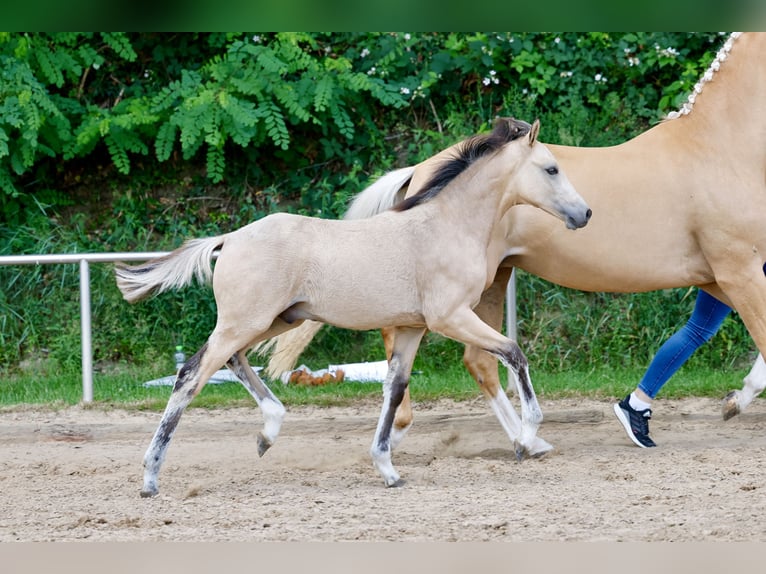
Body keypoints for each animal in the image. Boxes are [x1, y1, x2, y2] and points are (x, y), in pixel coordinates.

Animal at [115, 118, 592, 495]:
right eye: (551, 168)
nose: (584, 214)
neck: (446, 227)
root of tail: (229, 239)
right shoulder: (451, 317)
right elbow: (513, 353)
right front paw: (528, 438)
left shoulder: (413, 328)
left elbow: (394, 388)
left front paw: (388, 469)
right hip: (243, 322)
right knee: (191, 375)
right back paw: (151, 477)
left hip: (273, 320)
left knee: (232, 360)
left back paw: (268, 432)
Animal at [262, 32, 766, 451]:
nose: (583, 214)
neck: (718, 148)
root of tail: (419, 170)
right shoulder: (738, 271)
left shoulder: (725, 279)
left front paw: (732, 401)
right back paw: (414, 427)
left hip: (492, 281)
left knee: (478, 361)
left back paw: (526, 440)